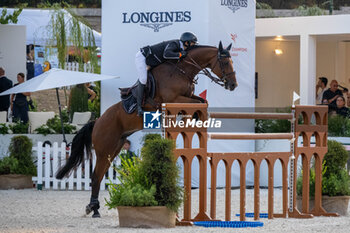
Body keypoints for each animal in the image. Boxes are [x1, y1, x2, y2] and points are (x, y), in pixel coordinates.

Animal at [56, 41, 238, 218]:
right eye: (224, 62)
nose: (233, 85)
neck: (183, 70)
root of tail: (97, 121)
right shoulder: (174, 99)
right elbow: (197, 103)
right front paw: (191, 119)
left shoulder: (188, 96)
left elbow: (202, 101)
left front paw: (195, 118)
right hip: (104, 150)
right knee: (95, 177)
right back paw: (94, 210)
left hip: (114, 149)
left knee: (99, 176)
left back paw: (93, 207)